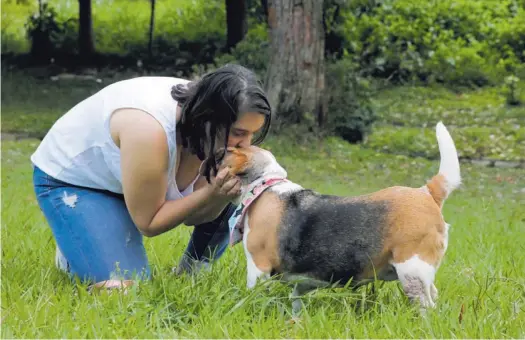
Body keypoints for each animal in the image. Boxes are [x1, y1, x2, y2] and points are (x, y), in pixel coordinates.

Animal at [220, 122, 458, 316]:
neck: (264, 185)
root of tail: (426, 192)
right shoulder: (301, 283)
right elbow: (297, 299)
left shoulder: (258, 267)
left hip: (412, 272)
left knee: (427, 307)